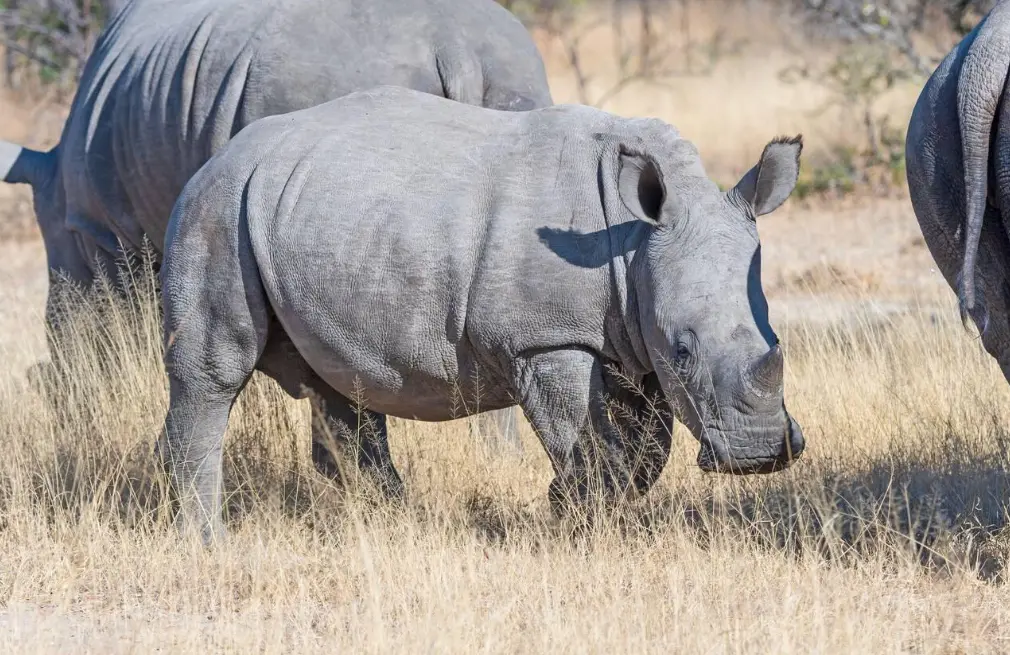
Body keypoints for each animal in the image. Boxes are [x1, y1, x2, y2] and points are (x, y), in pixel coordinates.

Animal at [0, 0, 553, 457]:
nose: (64, 408)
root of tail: (457, 49)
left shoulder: (107, 233)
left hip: (319, 86)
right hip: (515, 74)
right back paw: (498, 461)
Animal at [157, 85, 807, 542]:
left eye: (774, 334)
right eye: (685, 351)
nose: (761, 456)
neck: (632, 241)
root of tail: (213, 160)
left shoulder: (631, 339)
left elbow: (645, 453)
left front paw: (563, 503)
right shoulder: (545, 339)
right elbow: (587, 440)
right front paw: (576, 519)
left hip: (306, 217)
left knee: (340, 385)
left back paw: (395, 525)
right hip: (217, 208)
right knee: (214, 374)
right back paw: (210, 545)